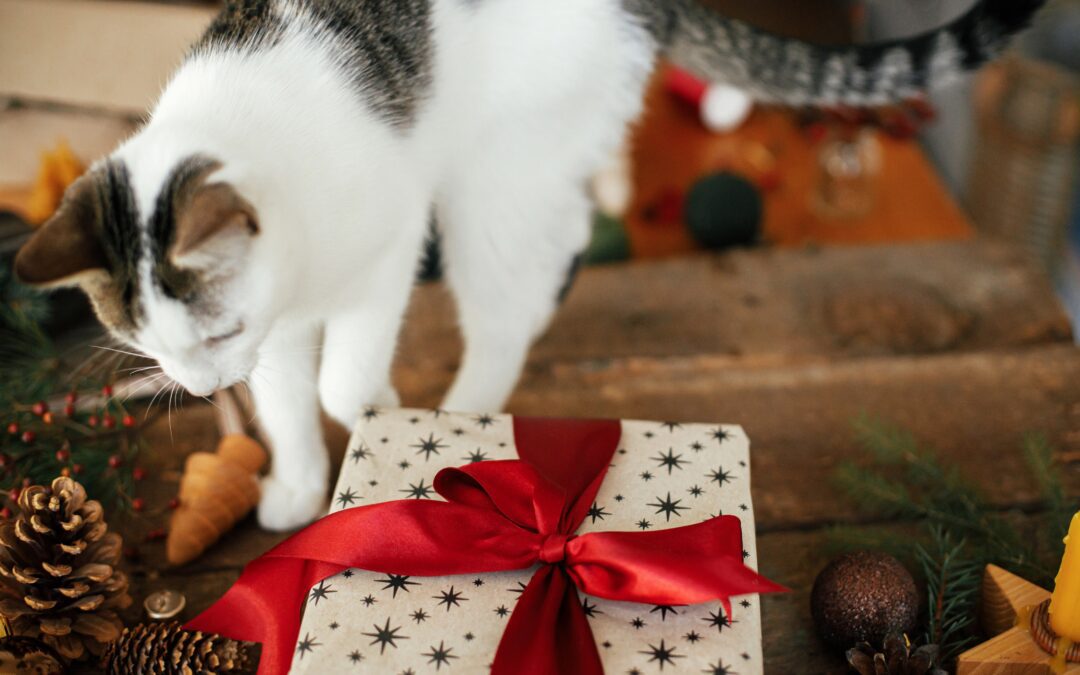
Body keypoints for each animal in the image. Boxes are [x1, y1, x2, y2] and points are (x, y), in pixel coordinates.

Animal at [14, 0, 1045, 529]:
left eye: (212, 330)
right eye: (149, 347)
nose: (196, 386)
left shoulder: (387, 245)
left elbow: (341, 380)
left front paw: (375, 399)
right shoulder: (277, 326)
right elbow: (286, 404)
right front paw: (302, 485)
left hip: (491, 178)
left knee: (518, 297)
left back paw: (463, 418)